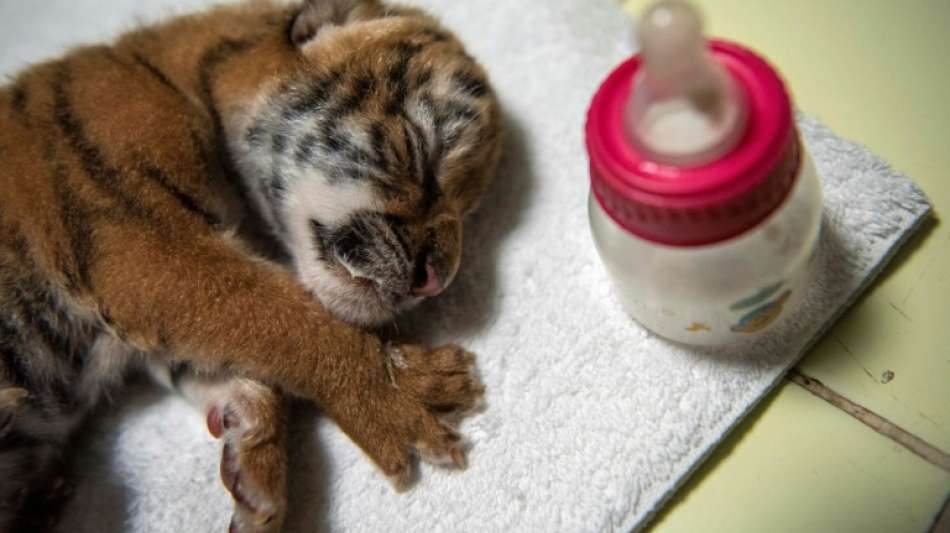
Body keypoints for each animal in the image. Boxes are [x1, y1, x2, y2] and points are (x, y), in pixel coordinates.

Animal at [0, 0, 503, 531]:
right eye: (423, 151)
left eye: (469, 209)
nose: (437, 281)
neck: (188, 86)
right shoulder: (145, 247)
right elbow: (278, 315)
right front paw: (401, 391)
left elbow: (241, 367)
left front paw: (255, 472)